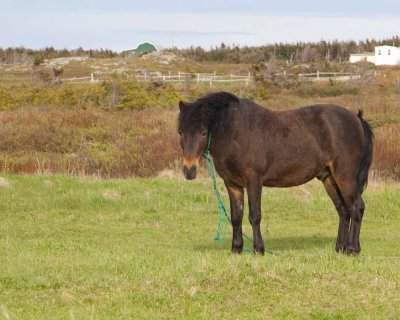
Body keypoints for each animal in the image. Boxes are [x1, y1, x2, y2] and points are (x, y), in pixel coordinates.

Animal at [177, 92, 374, 255]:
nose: (189, 170)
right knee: (343, 210)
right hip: (329, 178)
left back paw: (353, 249)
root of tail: (356, 119)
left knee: (357, 207)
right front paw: (236, 249)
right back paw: (340, 248)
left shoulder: (254, 181)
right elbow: (236, 217)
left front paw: (259, 249)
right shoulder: (232, 184)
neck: (235, 133)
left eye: (203, 133)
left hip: (345, 176)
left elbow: (254, 216)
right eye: (180, 132)